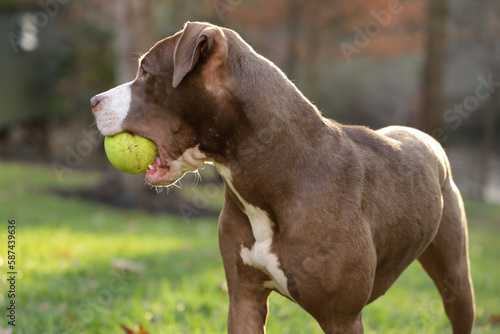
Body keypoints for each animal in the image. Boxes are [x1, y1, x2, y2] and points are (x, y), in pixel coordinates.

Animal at [91, 21, 476, 334]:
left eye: (145, 71)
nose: (93, 100)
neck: (275, 171)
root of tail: (425, 137)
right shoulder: (244, 299)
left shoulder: (342, 317)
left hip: (456, 277)